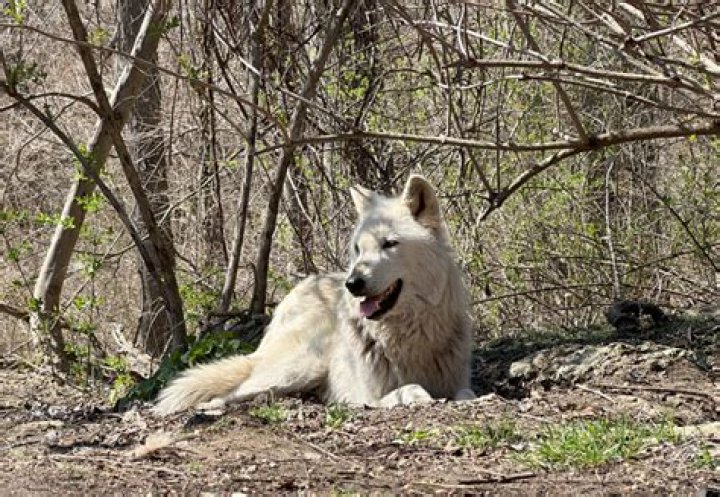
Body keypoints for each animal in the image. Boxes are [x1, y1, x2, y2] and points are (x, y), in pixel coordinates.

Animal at [153, 175, 474, 415]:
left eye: (389, 243)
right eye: (358, 249)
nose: (353, 283)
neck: (408, 335)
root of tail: (296, 292)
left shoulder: (456, 379)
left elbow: (466, 392)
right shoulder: (367, 395)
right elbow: (410, 389)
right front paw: (419, 396)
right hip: (301, 367)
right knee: (233, 391)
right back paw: (210, 407)